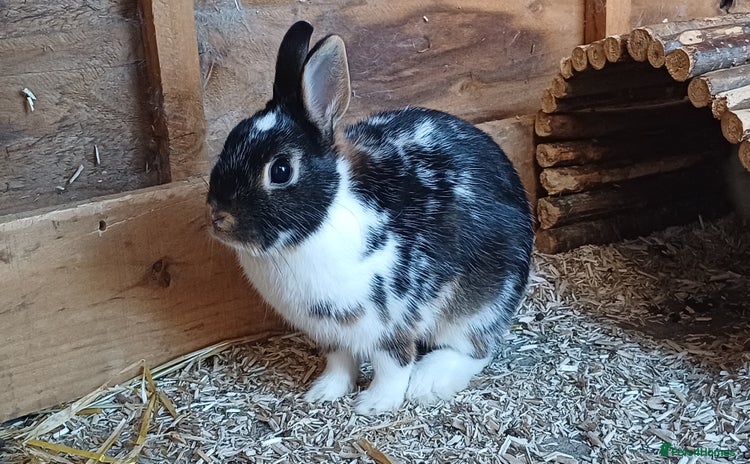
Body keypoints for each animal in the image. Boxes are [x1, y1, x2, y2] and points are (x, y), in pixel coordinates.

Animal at [206, 21, 534, 415]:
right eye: (229, 140)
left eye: (281, 170)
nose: (219, 218)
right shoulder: (330, 333)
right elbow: (339, 362)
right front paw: (324, 392)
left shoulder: (391, 323)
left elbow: (393, 365)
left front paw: (375, 404)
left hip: (479, 307)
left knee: (476, 349)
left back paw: (428, 381)